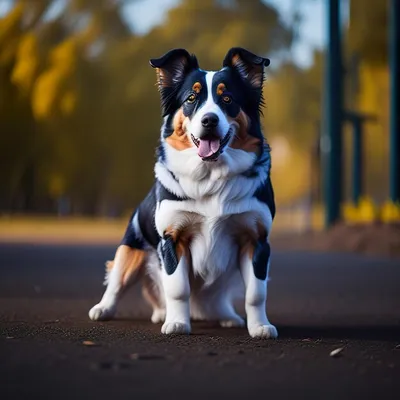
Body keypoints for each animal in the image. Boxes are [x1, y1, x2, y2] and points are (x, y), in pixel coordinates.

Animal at [89, 47, 278, 340]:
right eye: (191, 98)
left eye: (227, 99)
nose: (209, 120)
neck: (211, 176)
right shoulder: (172, 238)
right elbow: (177, 289)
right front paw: (177, 323)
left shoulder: (256, 239)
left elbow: (256, 294)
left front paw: (259, 326)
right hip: (130, 248)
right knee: (118, 280)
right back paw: (107, 309)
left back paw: (227, 316)